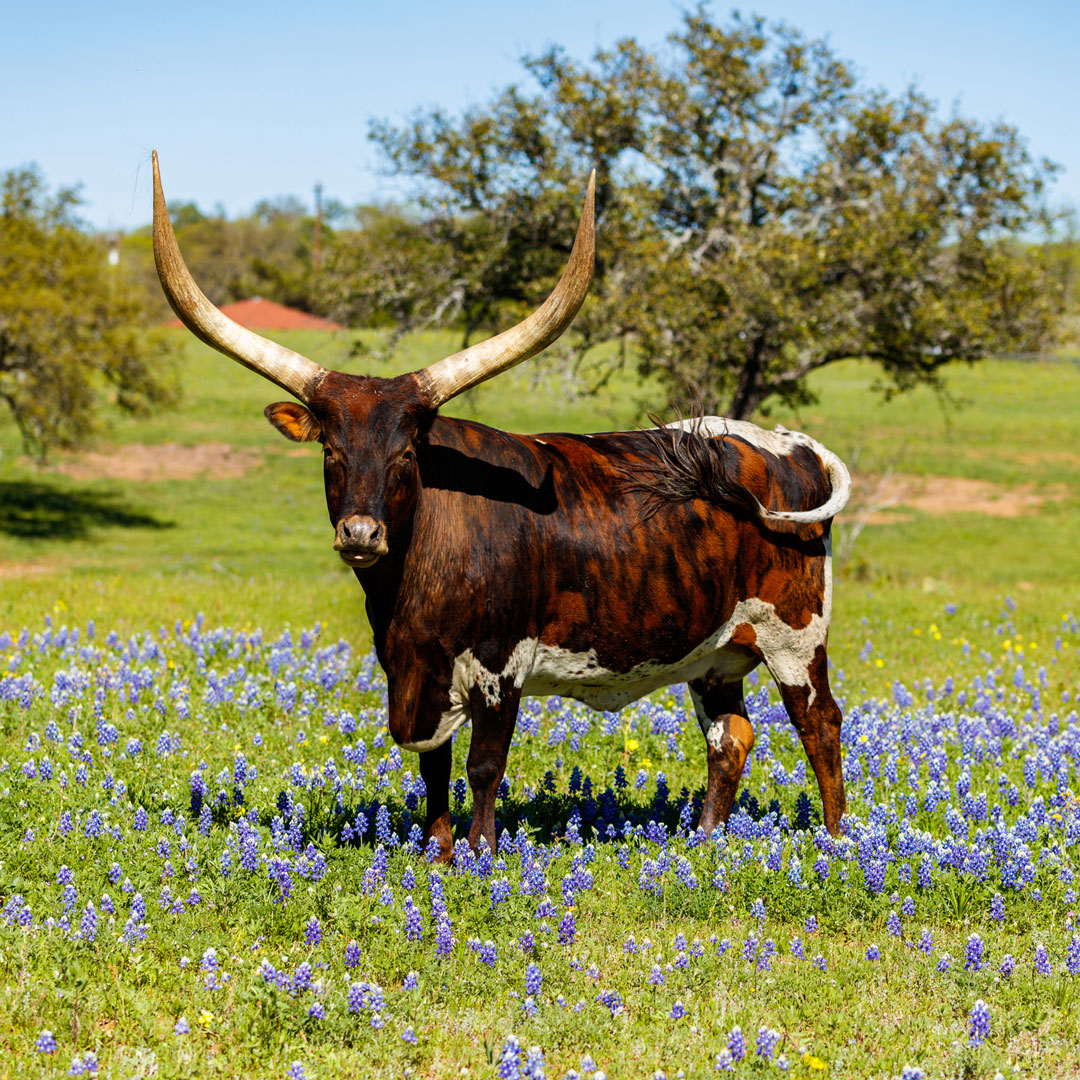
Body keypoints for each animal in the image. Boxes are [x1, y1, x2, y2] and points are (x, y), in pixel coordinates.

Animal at [152, 154, 846, 859]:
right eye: (331, 450)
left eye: (408, 450)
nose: (361, 533)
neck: (411, 587)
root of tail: (789, 445)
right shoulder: (412, 671)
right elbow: (433, 765)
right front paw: (438, 851)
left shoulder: (499, 662)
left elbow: (484, 763)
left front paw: (480, 855)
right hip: (715, 651)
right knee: (730, 737)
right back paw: (704, 843)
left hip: (795, 638)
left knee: (820, 724)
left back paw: (836, 842)